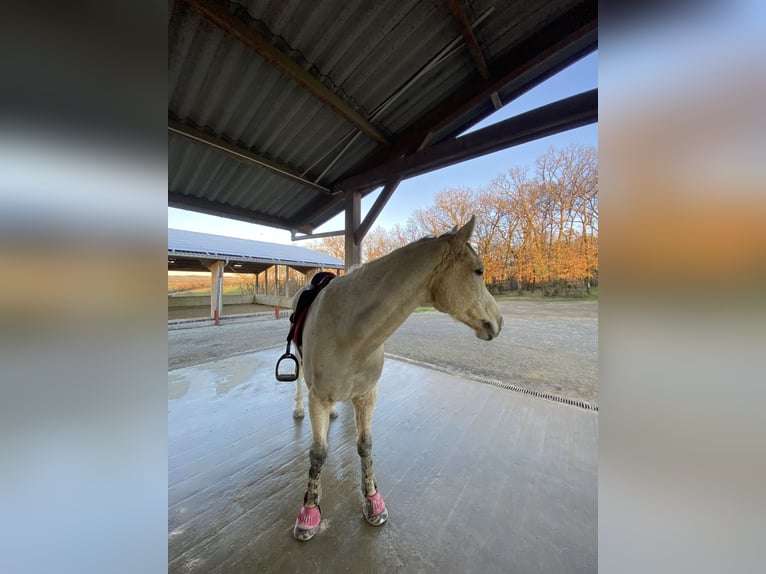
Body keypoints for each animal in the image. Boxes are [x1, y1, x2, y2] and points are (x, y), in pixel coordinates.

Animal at [292, 217, 500, 544]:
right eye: (478, 270)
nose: (499, 321)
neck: (348, 332)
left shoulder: (366, 396)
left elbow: (365, 446)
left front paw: (373, 501)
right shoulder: (319, 399)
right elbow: (318, 454)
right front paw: (309, 513)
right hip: (303, 373)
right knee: (299, 384)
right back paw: (298, 410)